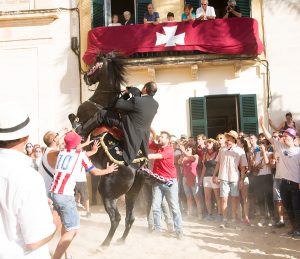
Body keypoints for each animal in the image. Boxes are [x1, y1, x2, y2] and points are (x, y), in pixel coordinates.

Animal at [69, 52, 146, 248]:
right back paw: (120, 240)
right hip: (132, 194)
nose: (87, 77)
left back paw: (104, 245)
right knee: (130, 218)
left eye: (95, 65)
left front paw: (77, 129)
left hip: (107, 192)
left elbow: (74, 120)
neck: (101, 102)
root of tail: (136, 168)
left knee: (116, 218)